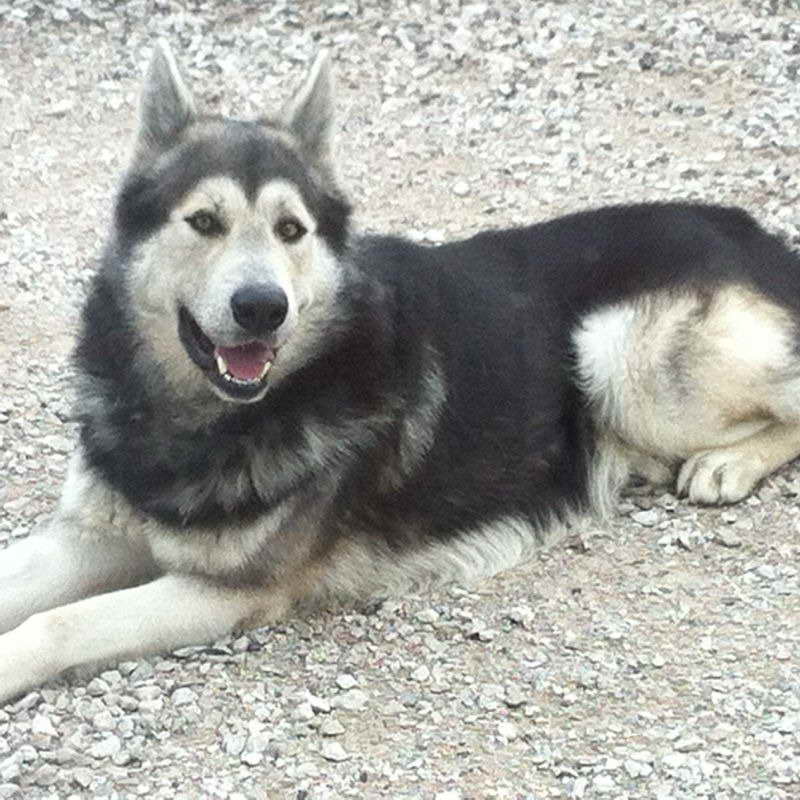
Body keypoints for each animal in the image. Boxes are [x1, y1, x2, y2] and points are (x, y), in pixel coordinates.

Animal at [1, 42, 800, 708]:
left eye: (291, 231)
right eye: (203, 222)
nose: (263, 308)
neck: (191, 417)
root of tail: (750, 229)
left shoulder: (221, 590)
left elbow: (58, 625)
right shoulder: (89, 536)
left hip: (621, 356)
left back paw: (726, 464)